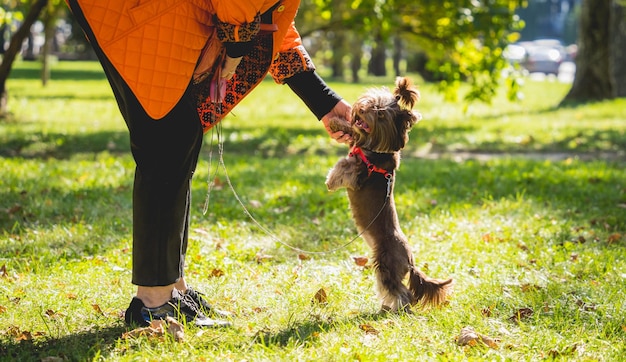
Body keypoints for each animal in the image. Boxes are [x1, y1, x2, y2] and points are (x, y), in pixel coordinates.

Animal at [326, 77, 448, 312]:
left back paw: (395, 308)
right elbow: (352, 134)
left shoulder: (358, 174)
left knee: (400, 290)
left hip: (385, 264)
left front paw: (330, 181)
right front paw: (337, 122)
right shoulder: (358, 143)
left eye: (381, 115)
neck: (375, 149)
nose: (362, 110)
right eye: (372, 104)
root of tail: (410, 260)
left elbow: (345, 166)